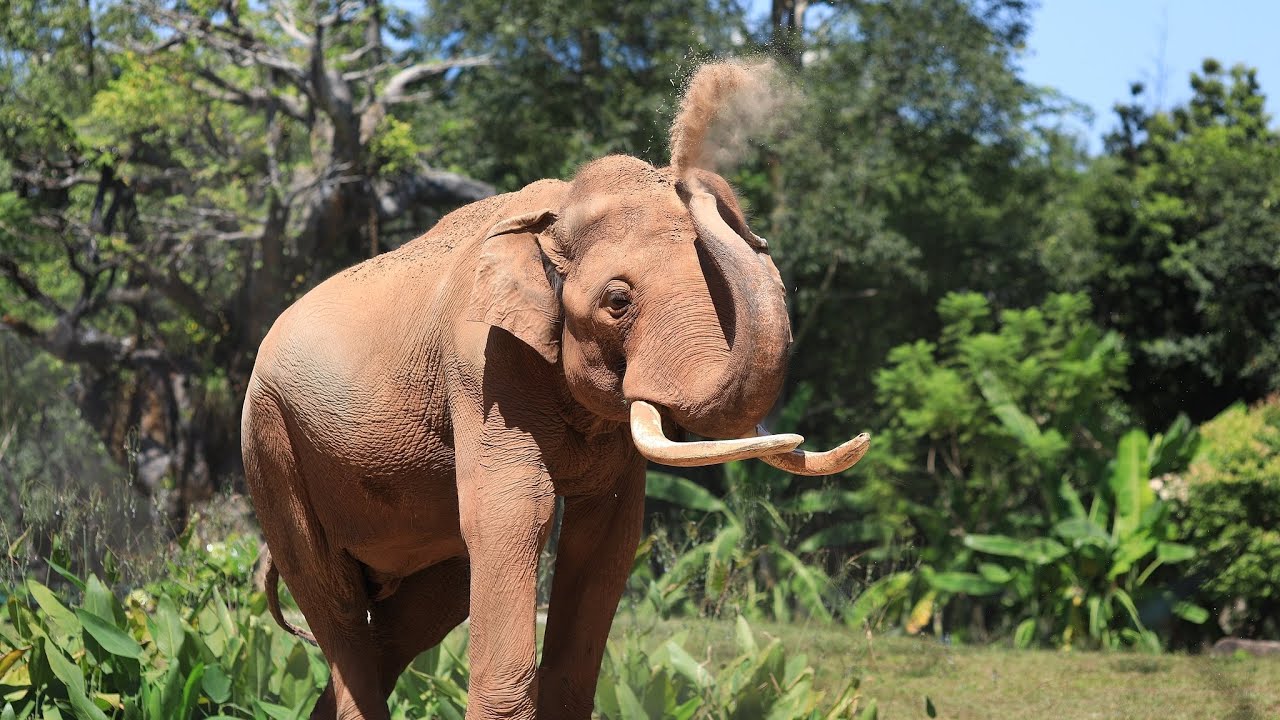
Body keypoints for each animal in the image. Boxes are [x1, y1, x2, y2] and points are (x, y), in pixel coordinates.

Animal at [241, 63, 869, 720]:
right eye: (617, 301)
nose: (690, 170)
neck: (553, 214)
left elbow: (608, 537)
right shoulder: (483, 365)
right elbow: (515, 513)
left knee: (417, 614)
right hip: (271, 446)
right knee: (335, 602)